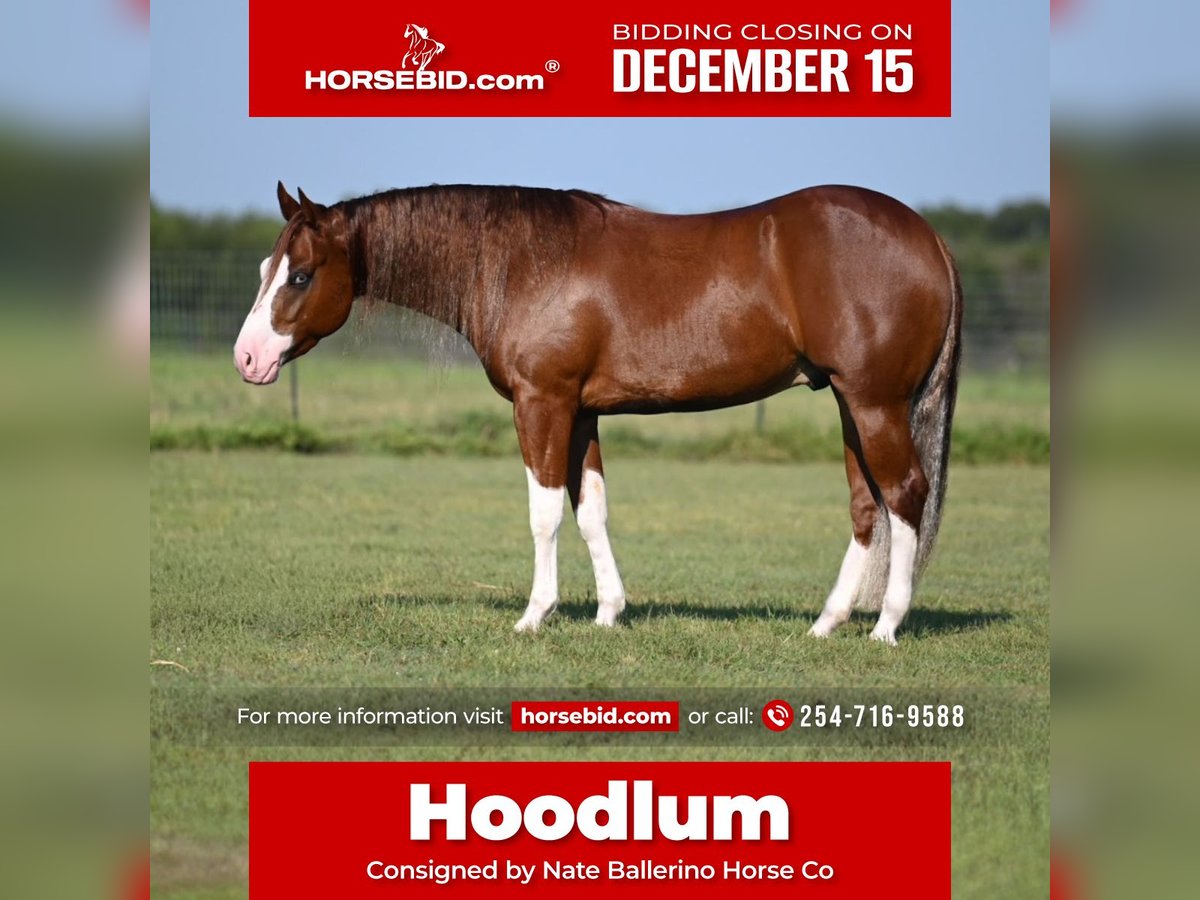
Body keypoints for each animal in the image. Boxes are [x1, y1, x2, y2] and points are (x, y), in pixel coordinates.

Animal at [234, 182, 962, 645]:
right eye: (268, 266)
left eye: (300, 275)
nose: (248, 358)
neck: (517, 262)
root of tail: (929, 236)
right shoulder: (582, 413)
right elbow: (591, 510)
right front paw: (609, 612)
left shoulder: (544, 402)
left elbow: (545, 512)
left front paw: (535, 615)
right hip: (848, 404)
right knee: (867, 507)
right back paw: (827, 624)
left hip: (873, 402)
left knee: (905, 495)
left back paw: (886, 627)